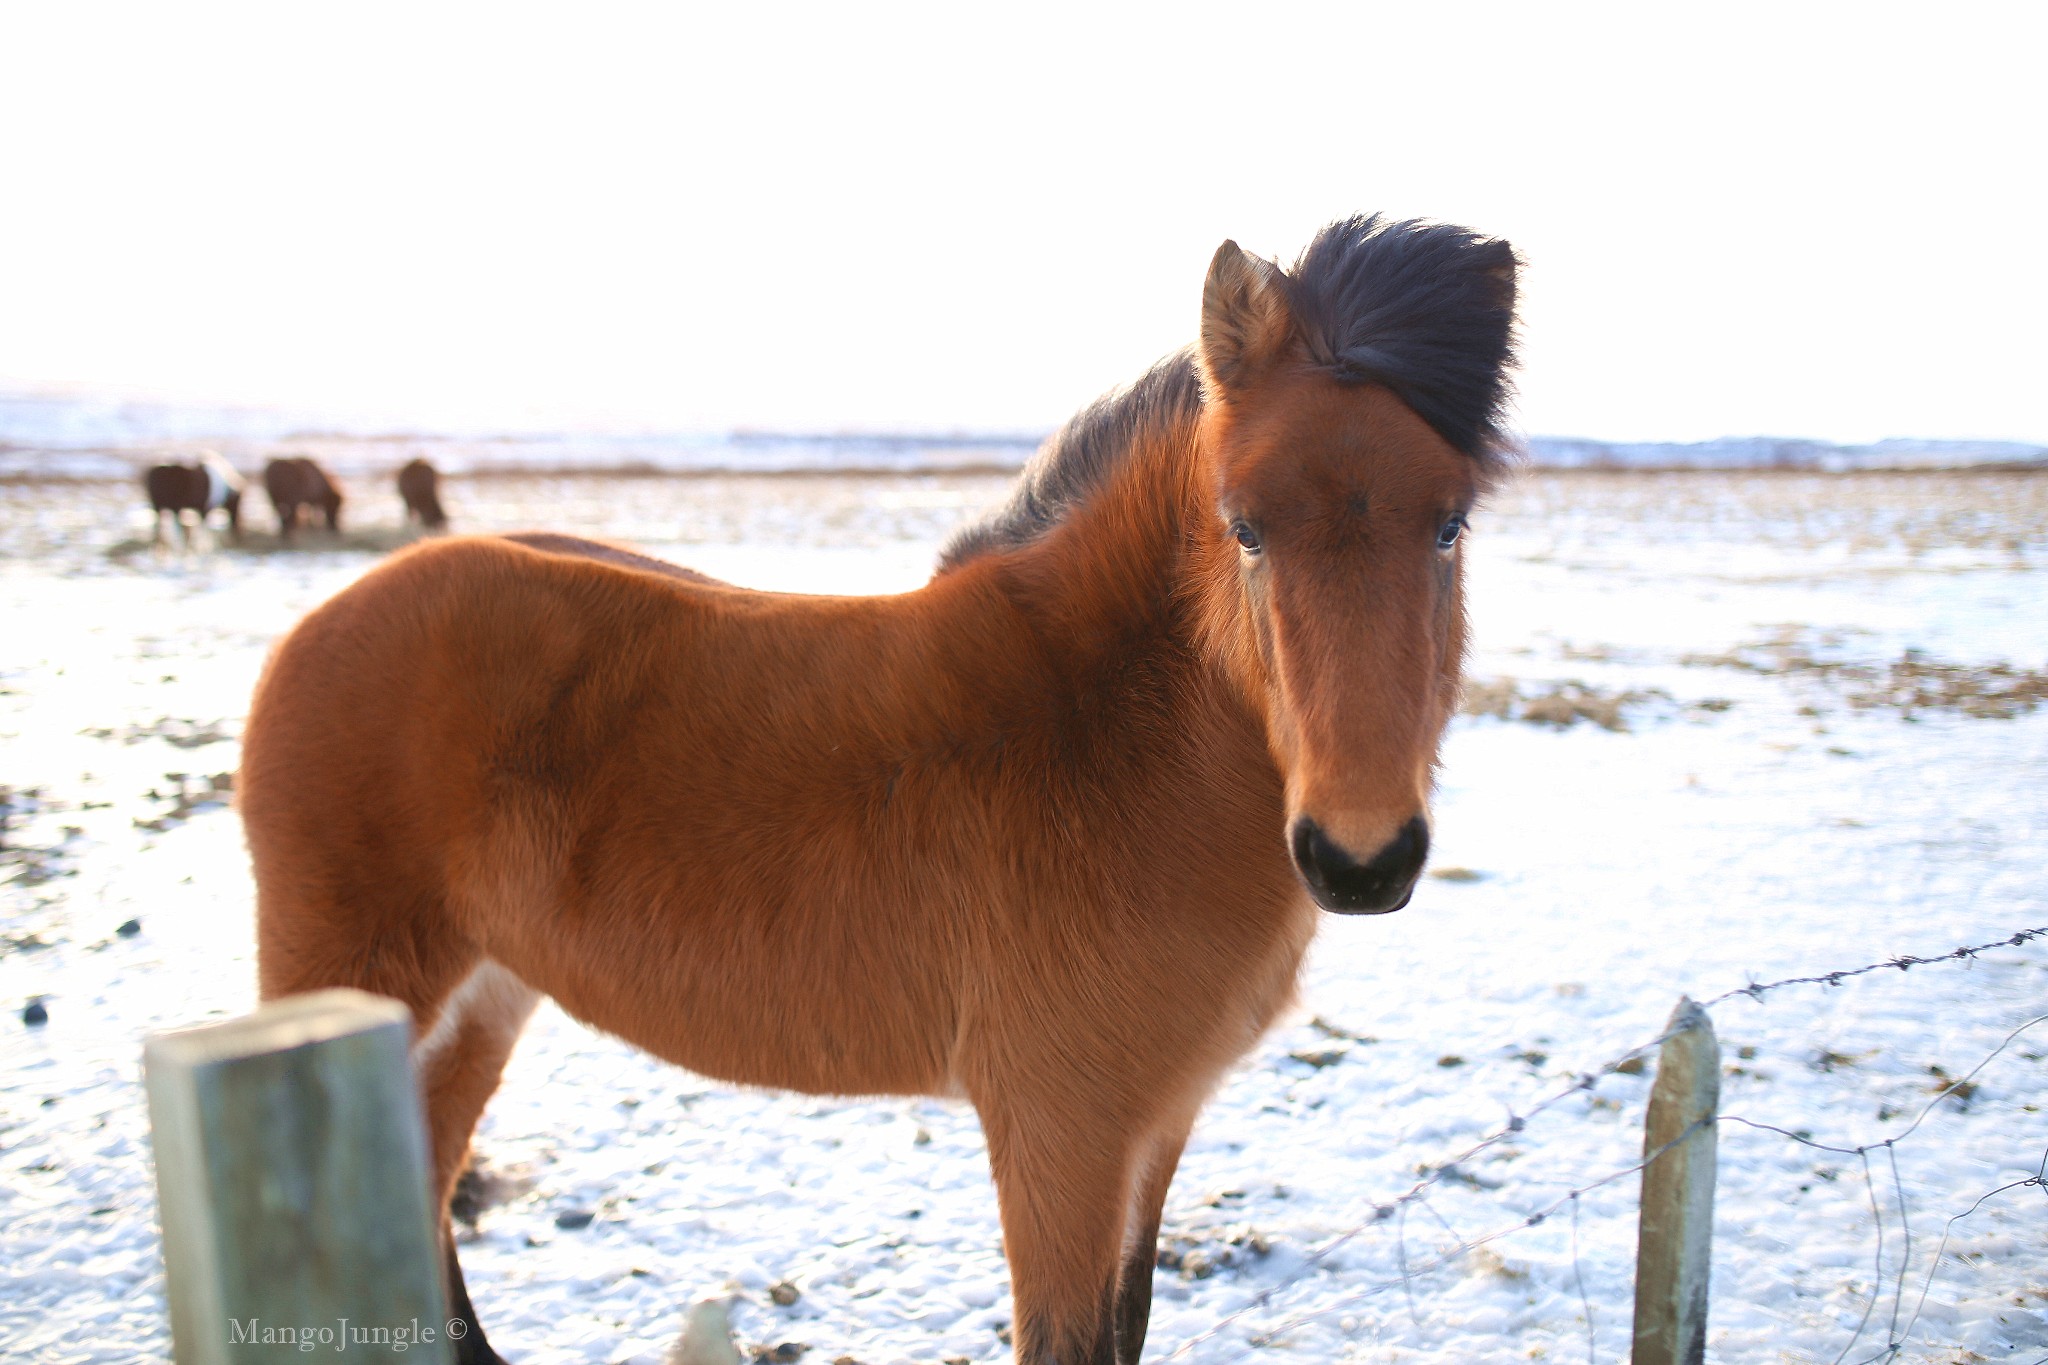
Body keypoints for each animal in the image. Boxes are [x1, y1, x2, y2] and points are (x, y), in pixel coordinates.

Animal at [243, 215, 1523, 1365]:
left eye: (1449, 523)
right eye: (1243, 527)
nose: (1359, 856)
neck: (1102, 734)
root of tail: (319, 627)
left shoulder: (1154, 1129)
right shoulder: (1059, 1135)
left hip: (482, 998)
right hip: (351, 975)